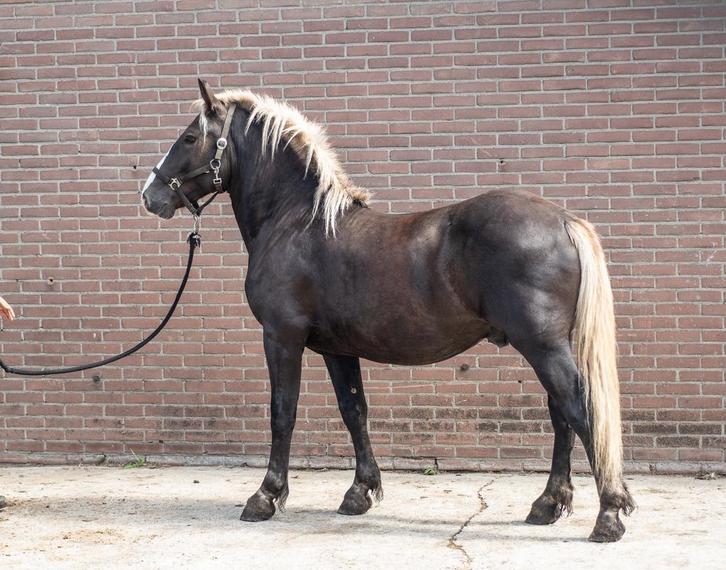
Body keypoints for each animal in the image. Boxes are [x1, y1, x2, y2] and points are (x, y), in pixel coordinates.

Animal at [141, 79, 635, 542]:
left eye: (189, 137)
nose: (150, 196)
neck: (298, 223)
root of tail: (565, 220)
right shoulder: (337, 349)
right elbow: (353, 410)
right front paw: (360, 492)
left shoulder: (282, 338)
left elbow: (283, 412)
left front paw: (266, 496)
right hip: (546, 346)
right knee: (561, 414)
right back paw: (548, 505)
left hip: (541, 345)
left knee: (579, 408)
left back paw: (608, 515)